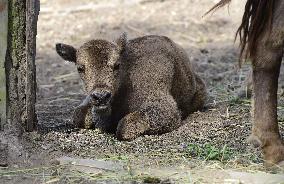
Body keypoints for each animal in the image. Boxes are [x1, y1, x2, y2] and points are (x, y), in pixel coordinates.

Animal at [55, 34, 206, 141]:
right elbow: (78, 115)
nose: (101, 96)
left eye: (117, 65)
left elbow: (124, 128)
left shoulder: (163, 107)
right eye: (80, 68)